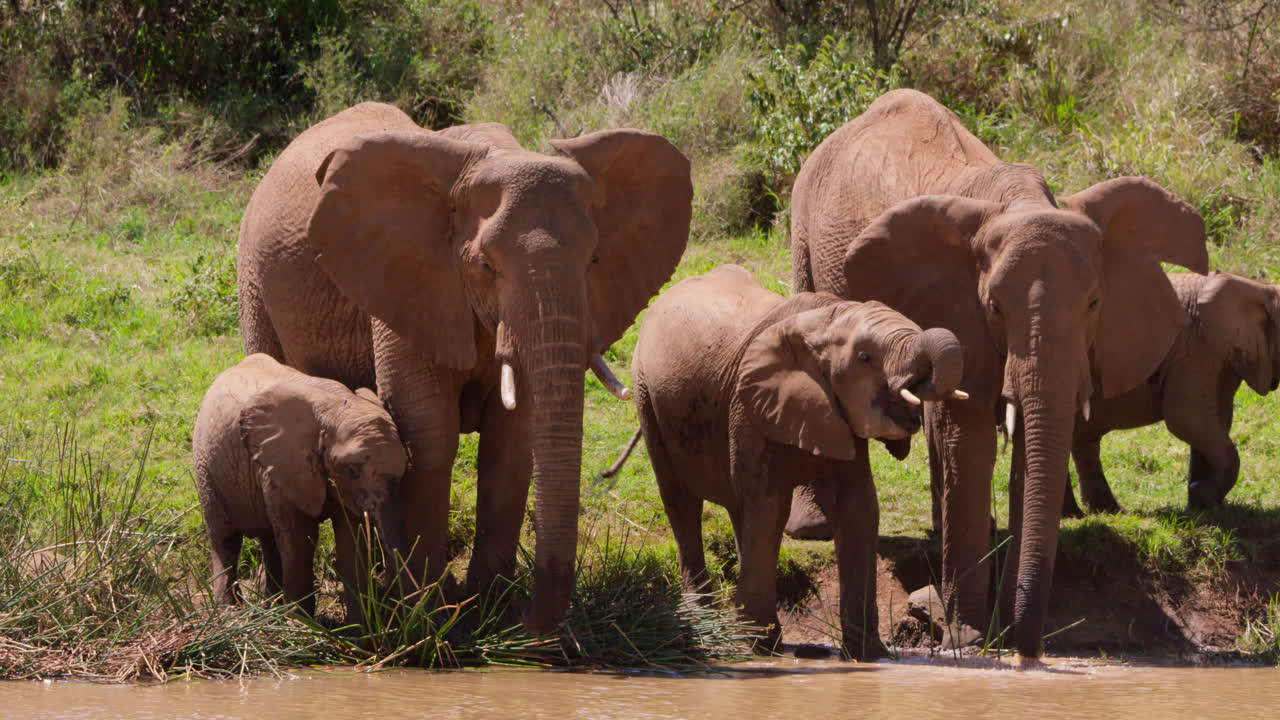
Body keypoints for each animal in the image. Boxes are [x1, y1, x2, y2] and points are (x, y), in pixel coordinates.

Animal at [192, 353, 408, 621]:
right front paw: (302, 626)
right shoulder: (282, 466)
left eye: (404, 470)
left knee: (269, 539)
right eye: (351, 470)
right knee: (225, 539)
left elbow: (351, 536)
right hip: (206, 467)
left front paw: (357, 629)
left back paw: (270, 609)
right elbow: (300, 538)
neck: (335, 406)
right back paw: (231, 615)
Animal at [237, 102, 691, 633]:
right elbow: (429, 435)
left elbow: (511, 443)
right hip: (254, 278)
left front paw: (490, 615)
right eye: (485, 267)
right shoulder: (409, 279)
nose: (528, 616)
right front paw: (436, 618)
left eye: (594, 261)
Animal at [631, 265, 966, 659]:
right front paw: (756, 645)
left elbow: (858, 508)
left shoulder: (836, 412)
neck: (826, 321)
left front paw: (868, 655)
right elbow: (771, 507)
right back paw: (706, 618)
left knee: (737, 509)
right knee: (682, 501)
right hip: (646, 395)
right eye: (865, 358)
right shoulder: (750, 406)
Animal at [789, 89, 1208, 659]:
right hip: (803, 230)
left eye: (1095, 303)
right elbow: (968, 440)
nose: (1027, 648)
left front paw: (1005, 627)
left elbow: (1028, 444)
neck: (1021, 200)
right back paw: (813, 527)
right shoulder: (956, 306)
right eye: (994, 308)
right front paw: (967, 636)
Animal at [1064, 271, 1280, 516]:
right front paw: (1203, 495)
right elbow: (1188, 420)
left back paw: (1108, 511)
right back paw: (1075, 515)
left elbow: (1216, 420)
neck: (1261, 289)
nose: (1197, 488)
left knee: (1085, 437)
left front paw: (1202, 506)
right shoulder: (1196, 349)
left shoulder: (1220, 354)